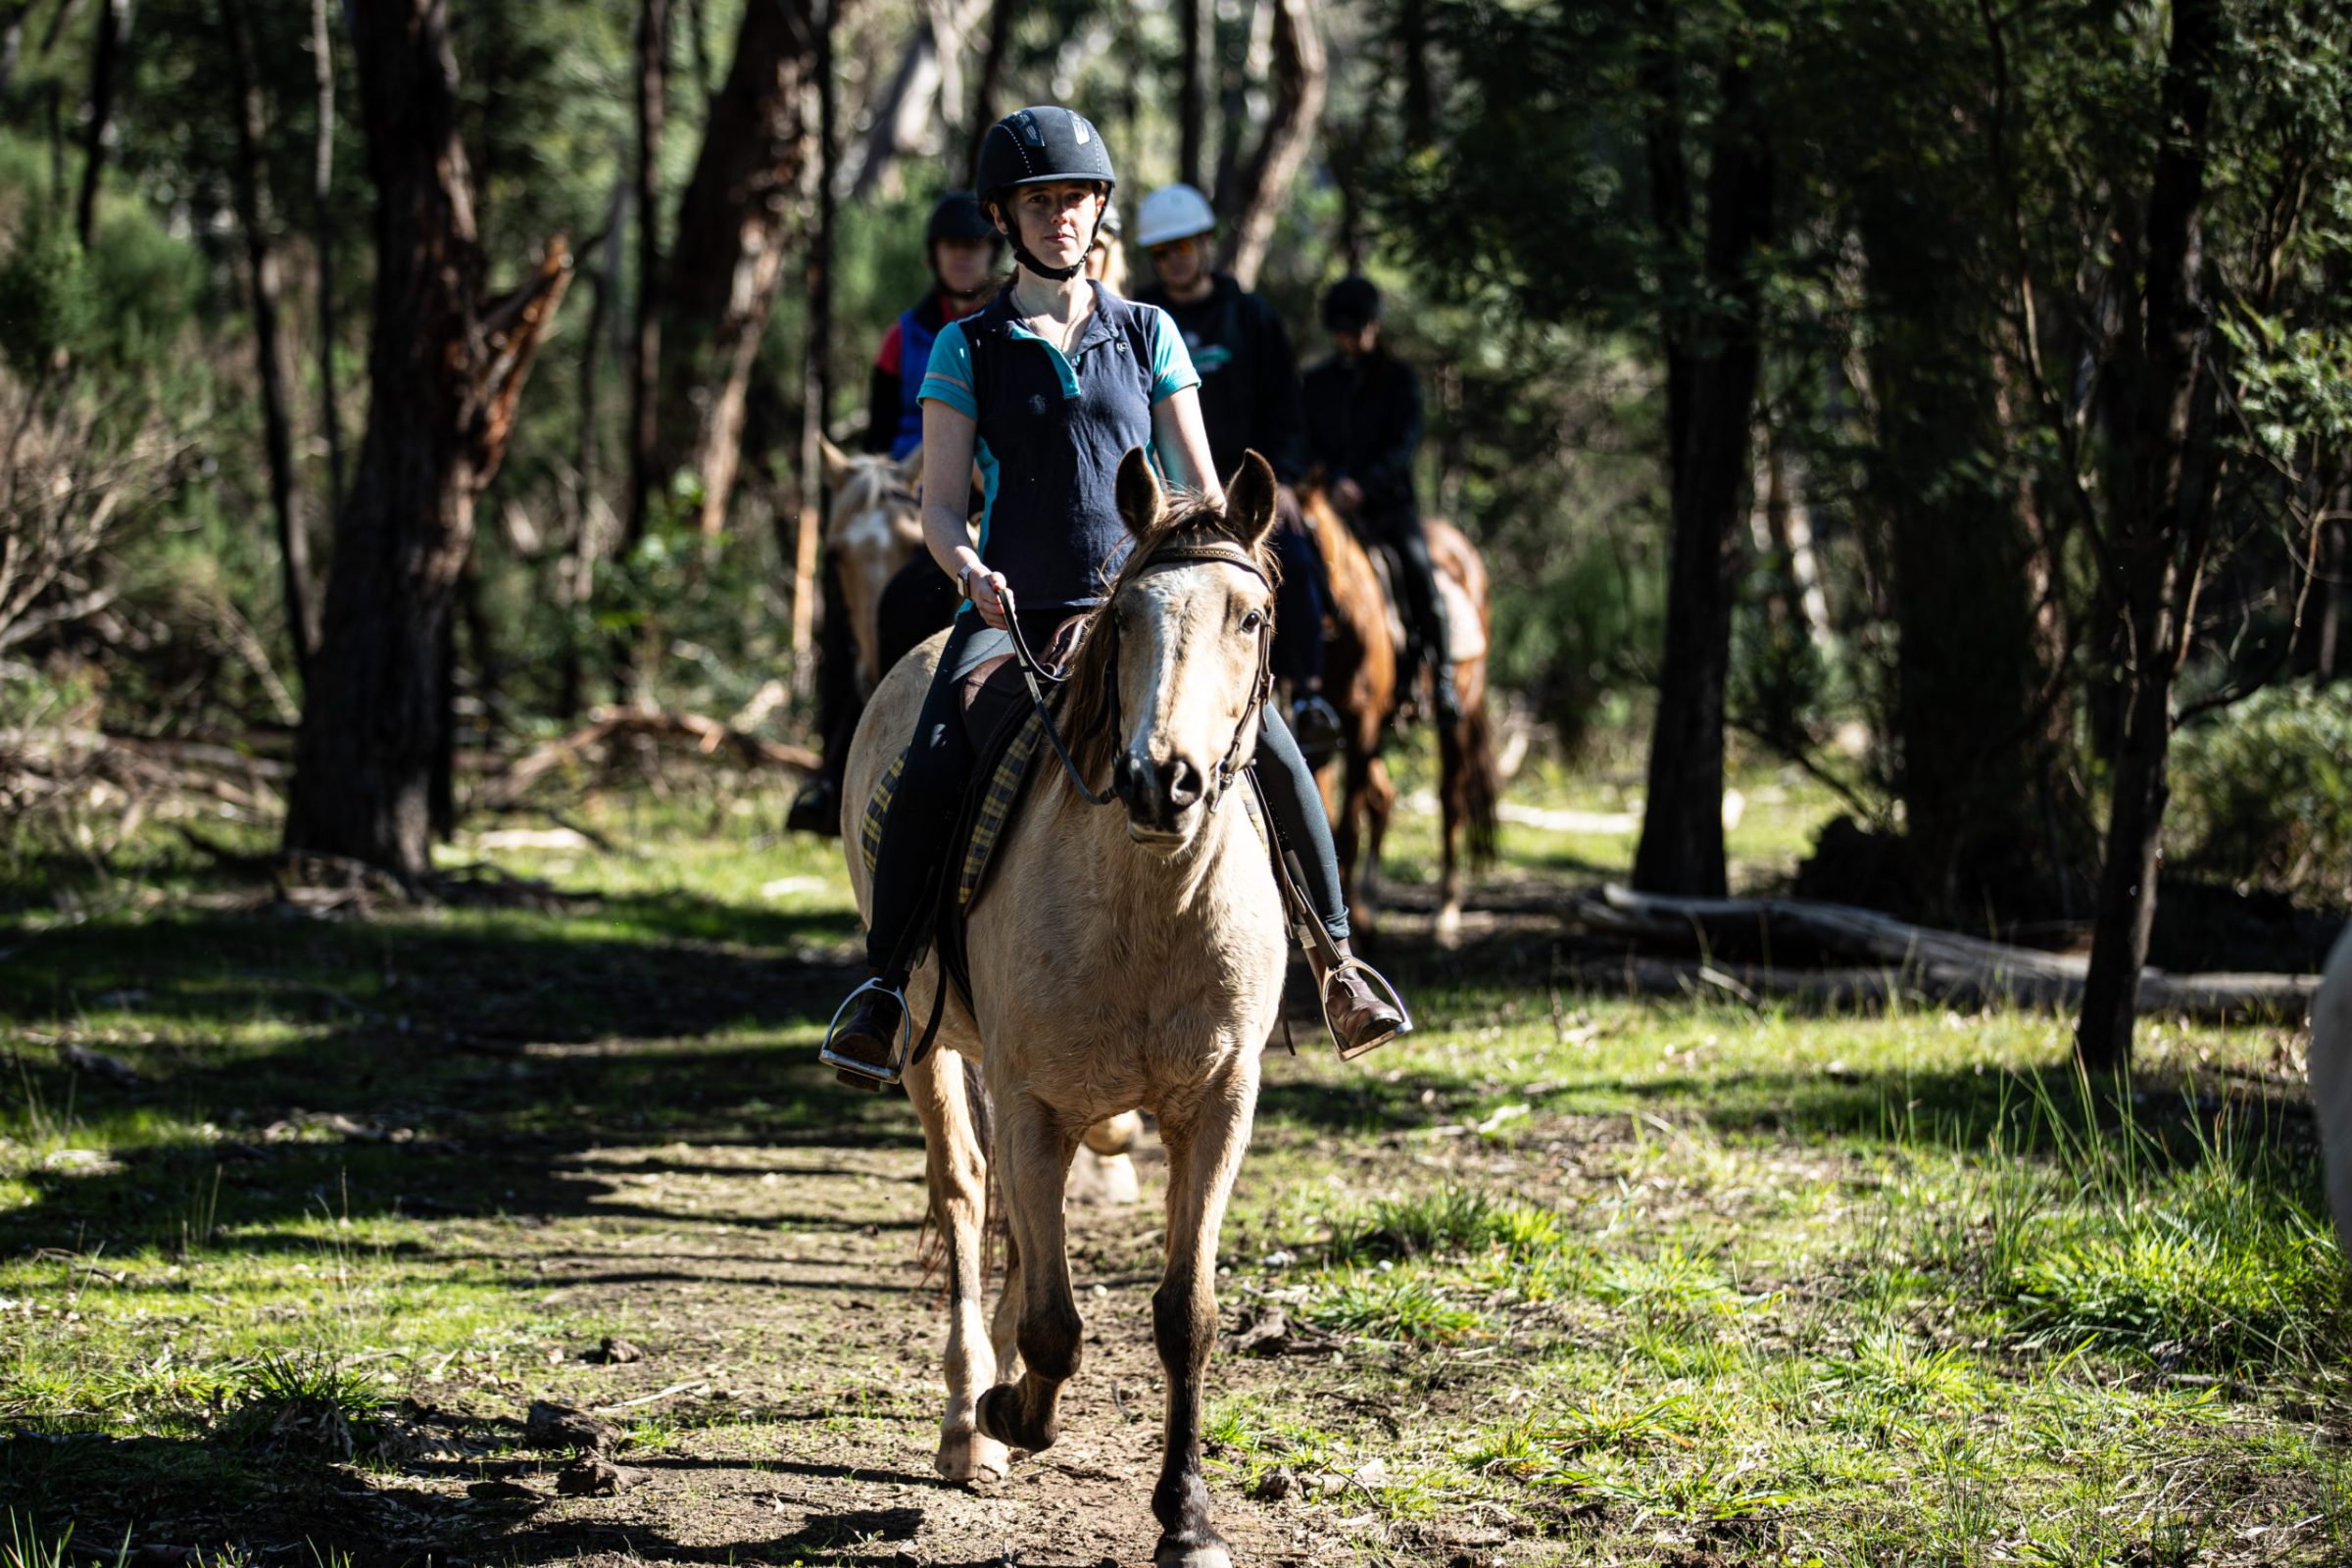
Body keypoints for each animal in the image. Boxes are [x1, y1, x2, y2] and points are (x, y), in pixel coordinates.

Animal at [1298, 485, 1500, 943]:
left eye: (1312, 536)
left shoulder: (1363, 724)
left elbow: (1346, 829)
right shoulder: (1322, 738)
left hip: (1458, 713)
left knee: (1450, 798)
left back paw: (1445, 912)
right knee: (1385, 797)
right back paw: (1371, 908)